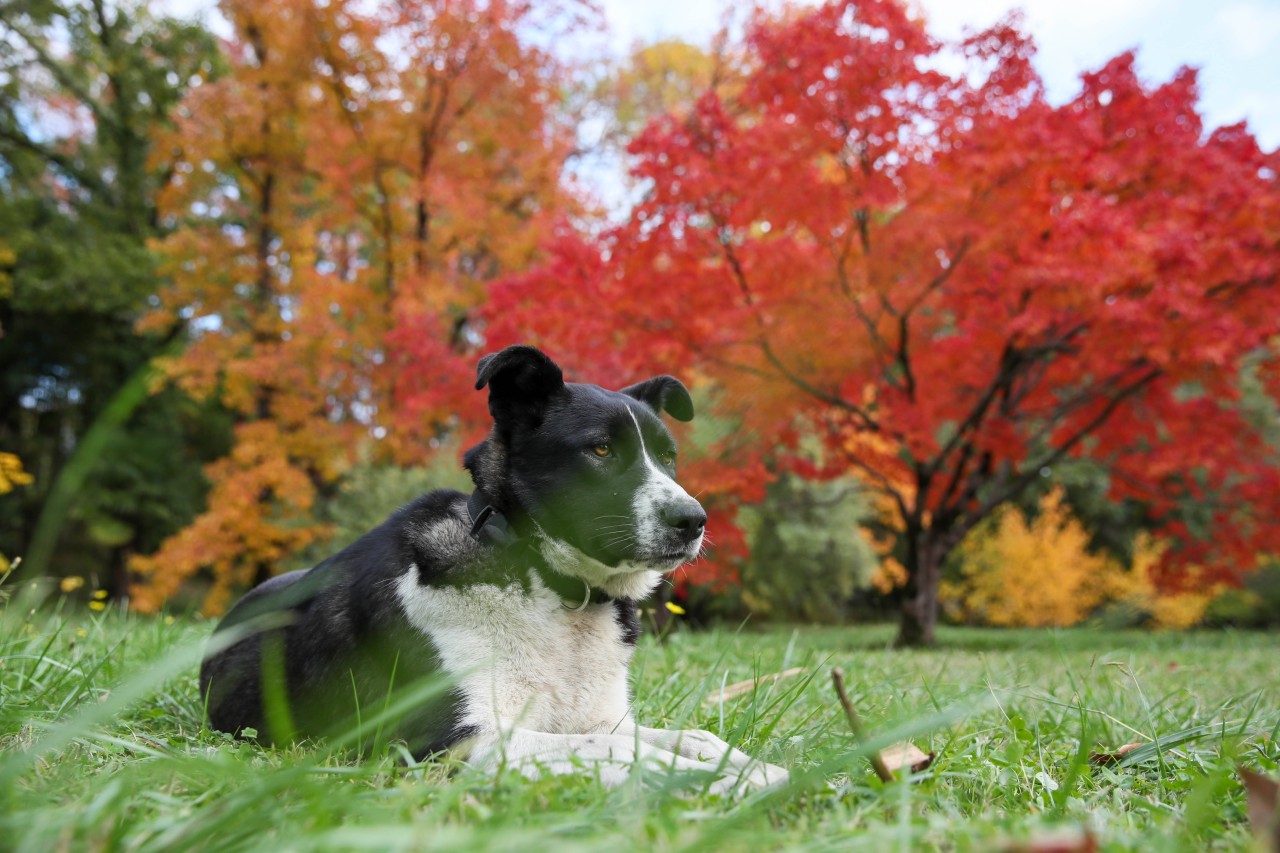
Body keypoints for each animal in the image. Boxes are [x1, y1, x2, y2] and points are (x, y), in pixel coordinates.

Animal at [197, 343, 788, 788]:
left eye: (668, 457)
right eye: (599, 450)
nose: (694, 521)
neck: (548, 585)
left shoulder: (603, 717)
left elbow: (692, 736)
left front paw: (750, 765)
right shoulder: (454, 742)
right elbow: (616, 749)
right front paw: (732, 780)